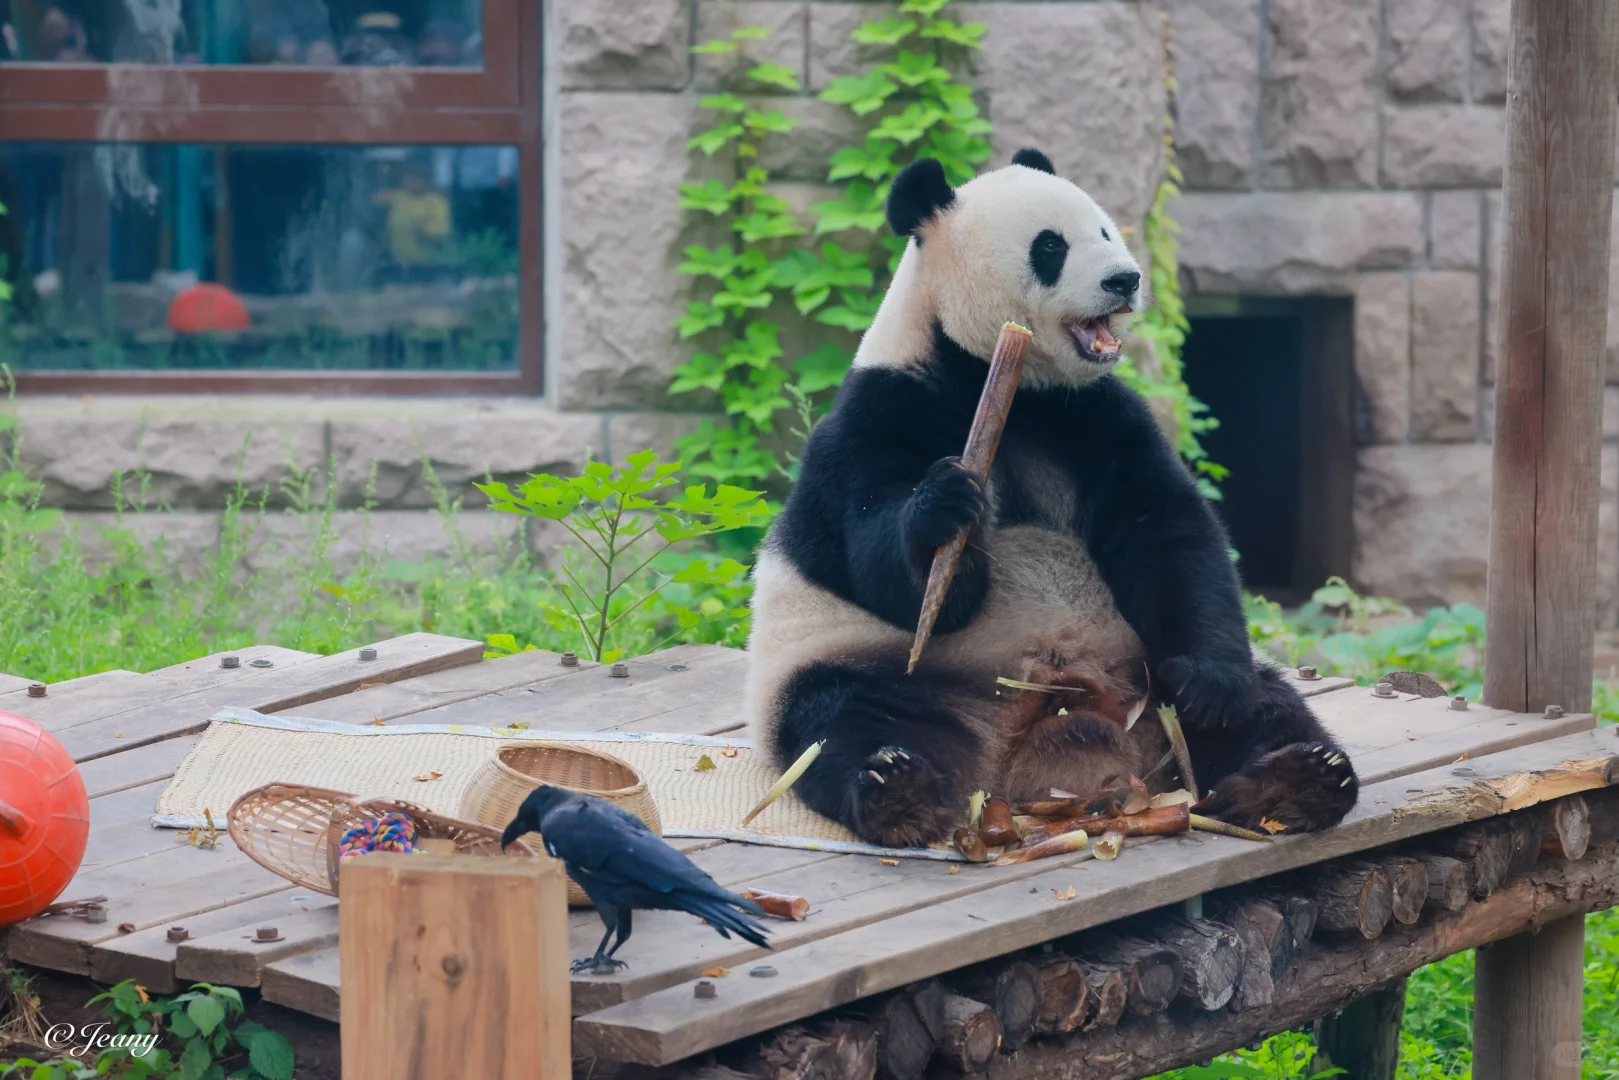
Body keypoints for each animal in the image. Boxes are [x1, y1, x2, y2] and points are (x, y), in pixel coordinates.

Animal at [741, 148, 1359, 848]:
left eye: (1105, 231)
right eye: (1051, 247)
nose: (1124, 279)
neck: (998, 379)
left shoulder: (1094, 414)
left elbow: (1167, 532)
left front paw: (1212, 687)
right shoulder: (879, 414)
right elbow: (891, 574)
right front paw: (942, 508)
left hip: (1145, 673)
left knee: (1266, 709)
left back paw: (1300, 778)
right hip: (866, 670)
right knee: (839, 723)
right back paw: (896, 789)